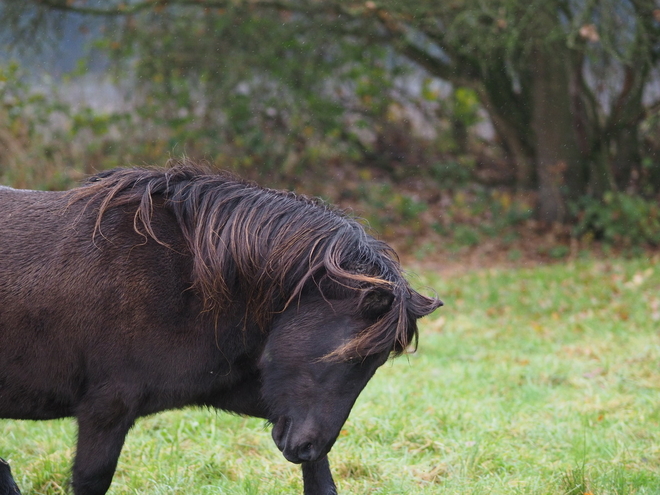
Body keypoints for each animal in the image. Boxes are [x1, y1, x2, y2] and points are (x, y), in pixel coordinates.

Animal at [1, 165, 444, 494]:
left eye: (374, 365)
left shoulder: (253, 394)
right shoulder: (105, 411)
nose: (305, 445)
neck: (187, 278)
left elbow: (321, 478)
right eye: (350, 356)